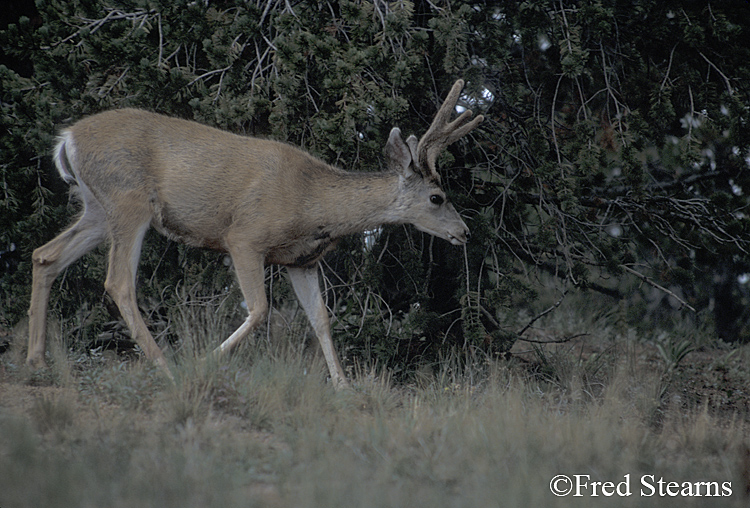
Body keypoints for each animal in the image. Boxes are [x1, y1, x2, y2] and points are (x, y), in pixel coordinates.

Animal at [26, 80, 484, 388]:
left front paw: (343, 386)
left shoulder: (302, 261)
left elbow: (321, 319)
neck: (313, 201)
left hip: (97, 208)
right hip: (128, 201)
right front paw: (206, 362)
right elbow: (260, 309)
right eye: (438, 197)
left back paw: (36, 361)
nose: (464, 232)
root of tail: (67, 139)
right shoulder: (244, 238)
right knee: (119, 282)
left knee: (44, 255)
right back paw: (166, 367)